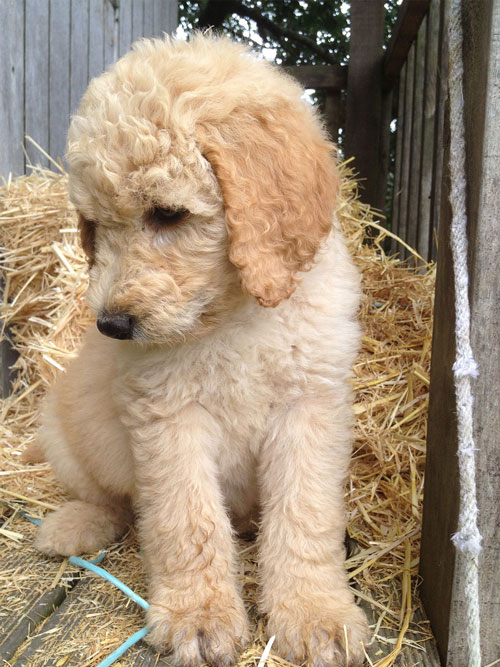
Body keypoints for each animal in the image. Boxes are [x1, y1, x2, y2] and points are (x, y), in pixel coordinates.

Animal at [32, 35, 368, 667]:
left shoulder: (310, 407)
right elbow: (186, 520)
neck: (234, 318)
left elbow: (304, 515)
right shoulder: (167, 418)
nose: (111, 325)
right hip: (62, 432)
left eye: (168, 214)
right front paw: (200, 616)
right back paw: (74, 525)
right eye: (93, 224)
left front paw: (315, 613)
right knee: (111, 500)